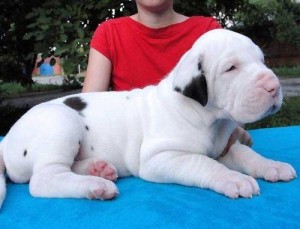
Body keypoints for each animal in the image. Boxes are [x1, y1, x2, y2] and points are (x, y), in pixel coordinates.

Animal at [0, 29, 296, 208]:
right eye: (231, 68)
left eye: (261, 60)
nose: (274, 86)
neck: (209, 118)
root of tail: (6, 141)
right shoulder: (161, 158)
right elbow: (204, 164)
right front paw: (233, 179)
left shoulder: (225, 147)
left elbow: (248, 155)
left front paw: (272, 166)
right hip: (62, 122)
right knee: (45, 179)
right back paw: (95, 185)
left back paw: (98, 169)